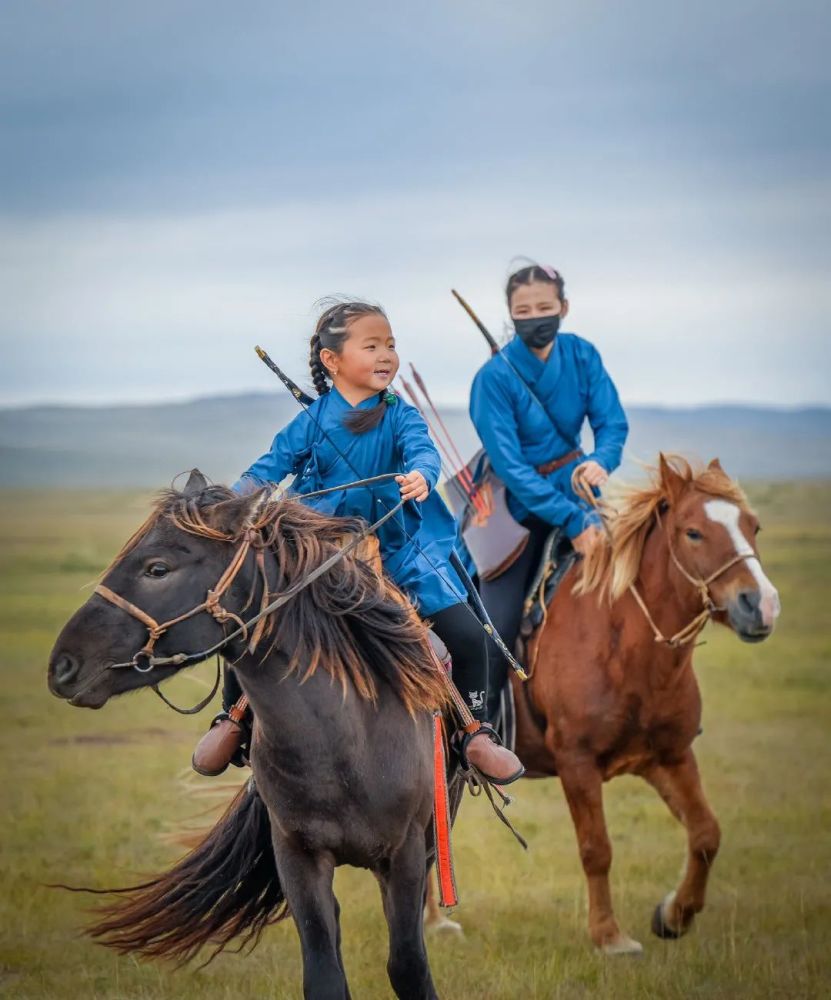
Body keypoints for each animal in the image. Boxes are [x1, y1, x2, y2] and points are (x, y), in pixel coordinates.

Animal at [47, 474, 462, 1000]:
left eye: (157, 568)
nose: (62, 666)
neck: (345, 744)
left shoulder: (404, 855)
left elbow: (408, 965)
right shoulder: (298, 855)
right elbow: (324, 971)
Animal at [510, 454, 784, 952]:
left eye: (753, 526)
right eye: (693, 532)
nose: (762, 605)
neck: (623, 643)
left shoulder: (669, 756)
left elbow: (706, 834)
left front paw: (674, 915)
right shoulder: (576, 762)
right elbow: (596, 848)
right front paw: (609, 936)